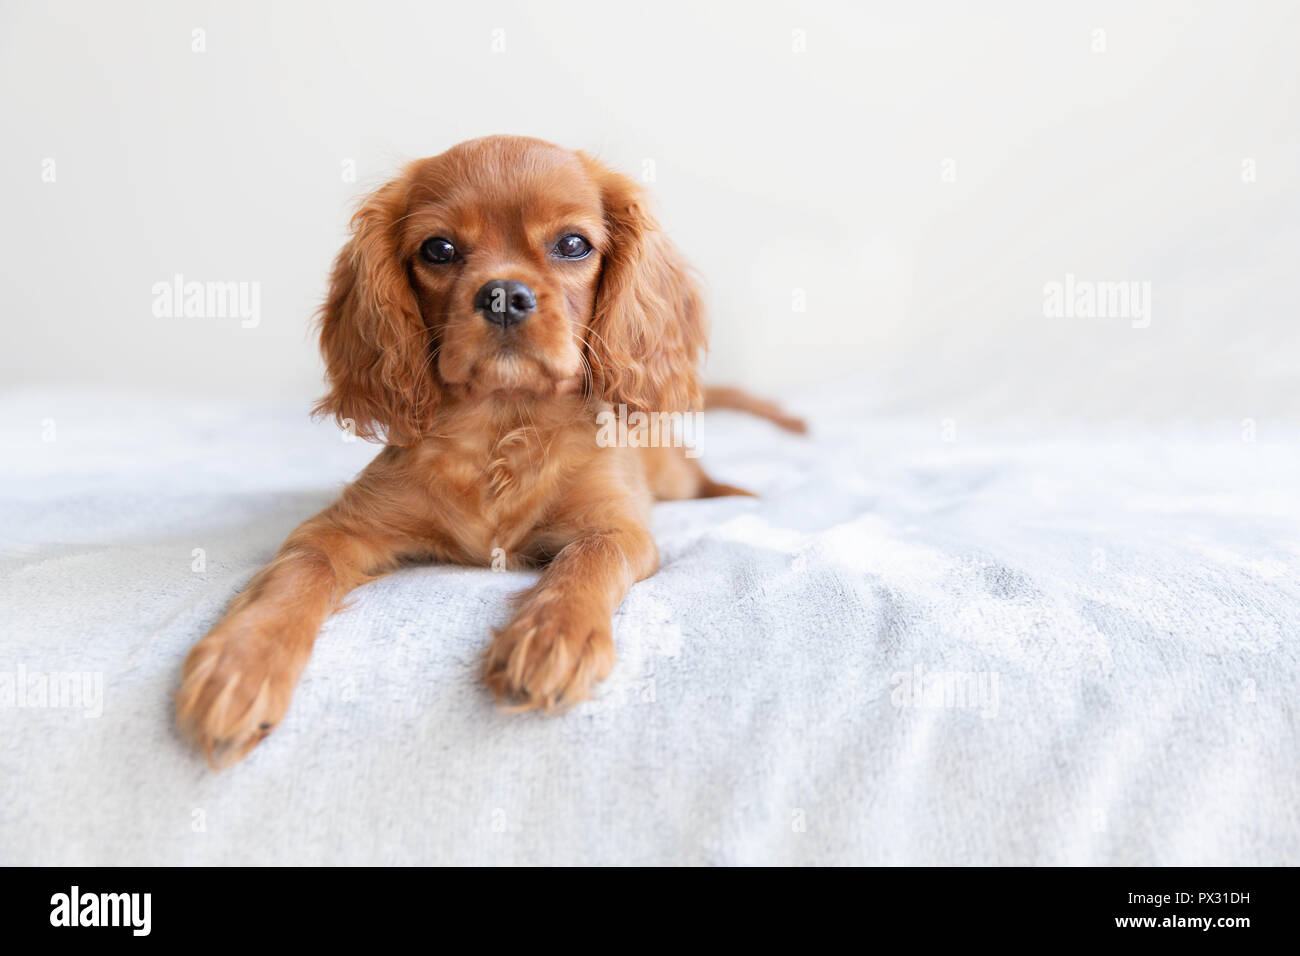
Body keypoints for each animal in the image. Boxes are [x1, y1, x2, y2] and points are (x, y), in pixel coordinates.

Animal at [172, 134, 800, 764]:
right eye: (439, 248)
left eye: (573, 244)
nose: (503, 295)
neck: (502, 422)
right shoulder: (337, 528)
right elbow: (296, 572)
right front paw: (241, 663)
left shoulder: (620, 526)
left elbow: (589, 557)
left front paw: (555, 636)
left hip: (673, 473)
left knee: (703, 482)